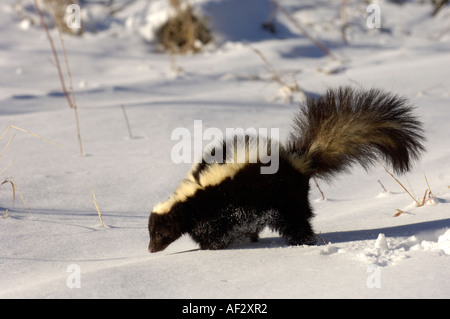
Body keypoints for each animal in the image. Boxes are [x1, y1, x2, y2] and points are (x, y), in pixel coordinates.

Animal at [149, 86, 426, 254]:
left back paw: (303, 241)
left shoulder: (218, 209)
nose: (151, 248)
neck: (191, 198)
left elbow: (216, 231)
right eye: (152, 233)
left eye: (161, 234)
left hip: (284, 199)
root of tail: (299, 161)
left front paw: (213, 246)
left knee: (296, 221)